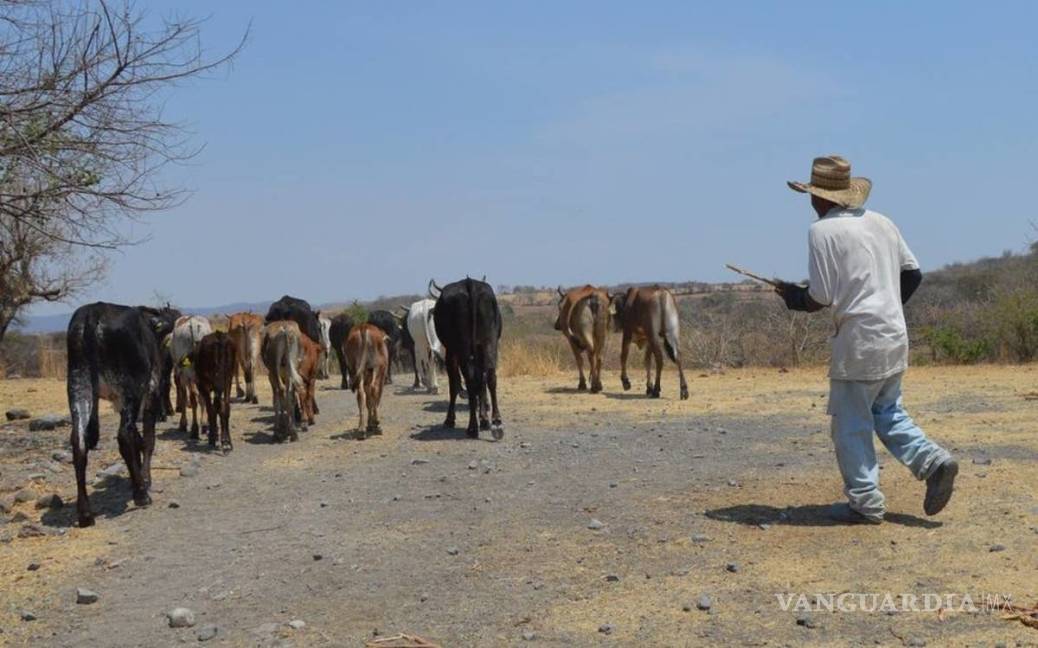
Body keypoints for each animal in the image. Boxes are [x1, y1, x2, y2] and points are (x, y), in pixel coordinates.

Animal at [66, 303, 179, 527]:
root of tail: (93, 311)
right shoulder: (150, 390)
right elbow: (147, 440)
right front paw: (145, 479)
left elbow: (137, 437)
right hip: (132, 389)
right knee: (123, 437)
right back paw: (141, 495)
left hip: (79, 386)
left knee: (79, 444)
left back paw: (85, 514)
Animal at [431, 277, 503, 439]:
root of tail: (469, 283)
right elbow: (481, 382)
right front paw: (484, 418)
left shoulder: (451, 352)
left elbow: (454, 383)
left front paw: (449, 419)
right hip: (489, 342)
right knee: (489, 377)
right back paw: (496, 422)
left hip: (462, 347)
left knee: (470, 380)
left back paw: (472, 427)